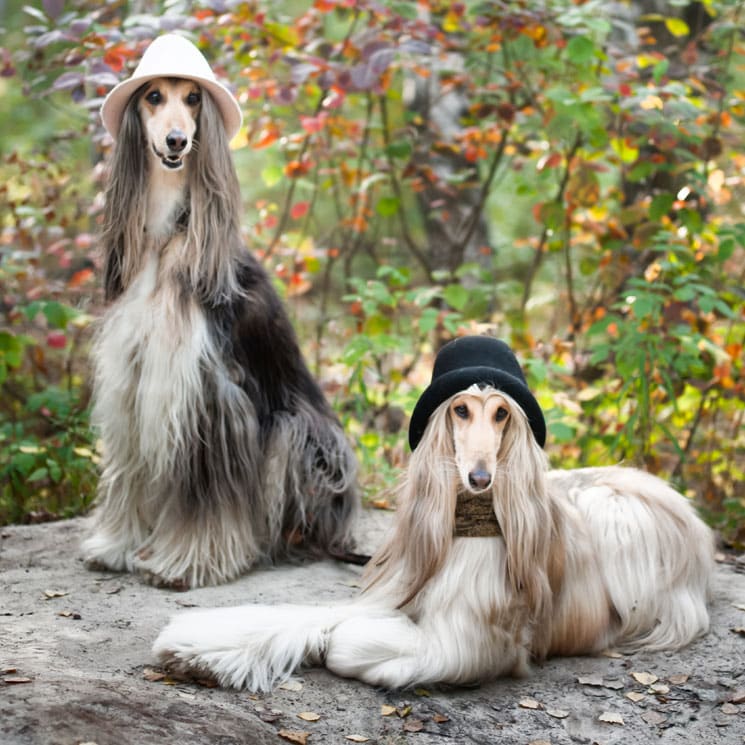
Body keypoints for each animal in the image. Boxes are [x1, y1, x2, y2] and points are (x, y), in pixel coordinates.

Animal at [81, 77, 358, 588]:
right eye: (153, 96)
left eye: (193, 98)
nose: (176, 142)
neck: (166, 236)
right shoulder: (133, 376)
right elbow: (129, 472)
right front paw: (116, 547)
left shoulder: (210, 392)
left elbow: (207, 492)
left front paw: (186, 562)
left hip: (298, 433)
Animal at [153, 384, 716, 692]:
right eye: (460, 410)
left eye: (502, 413)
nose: (480, 478)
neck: (469, 525)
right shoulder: (394, 590)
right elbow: (295, 617)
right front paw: (196, 650)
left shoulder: (476, 646)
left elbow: (349, 643)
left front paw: (340, 645)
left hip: (615, 514)